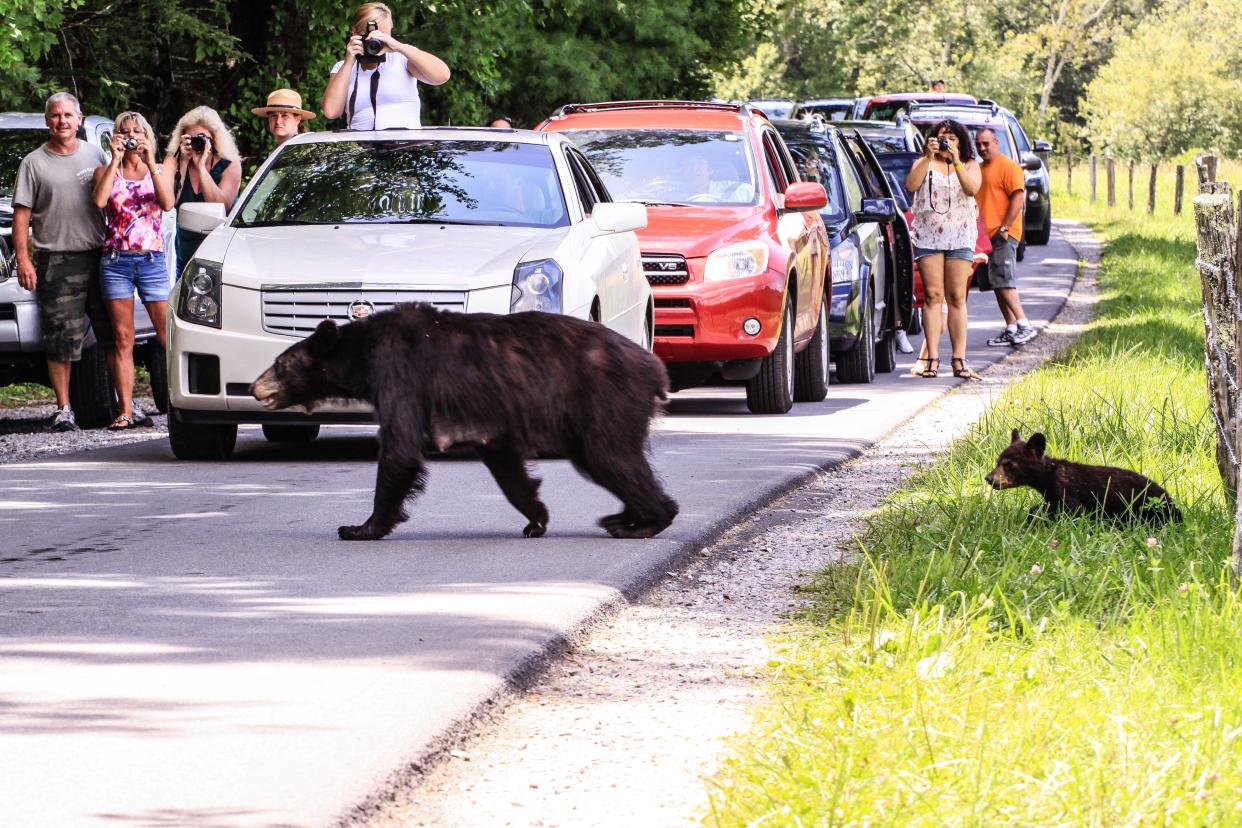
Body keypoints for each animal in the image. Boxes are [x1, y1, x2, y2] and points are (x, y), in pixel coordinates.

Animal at [250, 306, 680, 543]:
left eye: (281, 364)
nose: (255, 387)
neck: (365, 353)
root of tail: (656, 369)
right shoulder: (489, 419)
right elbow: (504, 463)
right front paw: (536, 517)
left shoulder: (401, 375)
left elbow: (400, 449)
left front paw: (359, 527)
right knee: (605, 462)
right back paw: (623, 516)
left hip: (606, 400)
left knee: (611, 457)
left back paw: (644, 521)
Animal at [983, 427, 1177, 523]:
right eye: (997, 461)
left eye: (1009, 465)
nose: (989, 478)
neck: (1048, 479)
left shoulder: (1068, 494)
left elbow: (1073, 511)